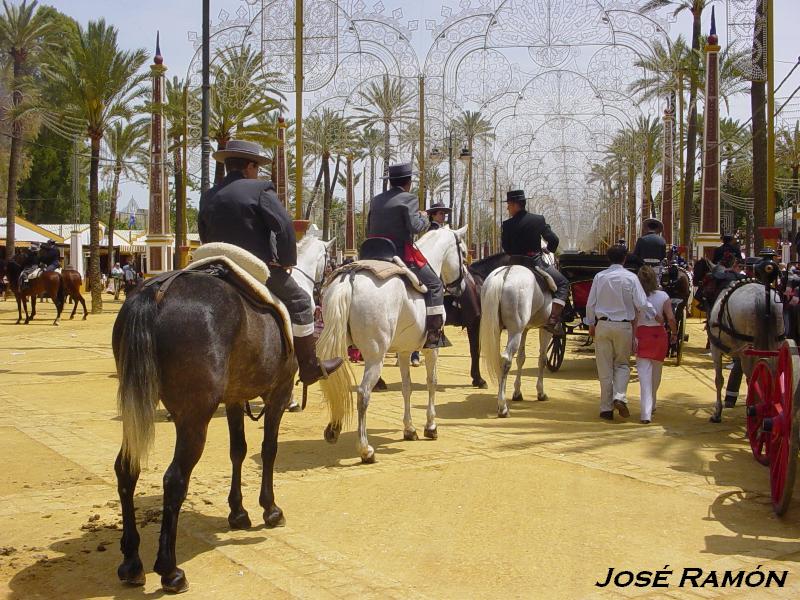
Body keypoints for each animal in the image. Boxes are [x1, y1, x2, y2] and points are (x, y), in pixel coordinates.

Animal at [113, 270, 296, 592]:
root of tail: (156, 291)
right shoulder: (280, 394)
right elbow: (268, 451)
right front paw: (270, 508)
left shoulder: (234, 398)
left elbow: (238, 451)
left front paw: (238, 512)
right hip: (194, 418)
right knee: (174, 480)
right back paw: (170, 570)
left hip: (136, 409)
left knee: (126, 469)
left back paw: (132, 562)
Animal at [316, 226, 468, 464]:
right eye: (463, 251)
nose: (461, 286)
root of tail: (350, 277)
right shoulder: (431, 349)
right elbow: (431, 382)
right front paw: (430, 426)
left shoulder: (404, 351)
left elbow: (407, 387)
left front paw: (409, 429)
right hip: (375, 357)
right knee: (363, 394)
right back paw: (365, 449)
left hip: (337, 349)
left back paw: (334, 429)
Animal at [478, 266, 552, 418]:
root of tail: (505, 273)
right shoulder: (545, 328)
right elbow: (542, 359)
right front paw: (540, 392)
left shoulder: (525, 329)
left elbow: (521, 359)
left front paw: (517, 393)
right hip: (515, 331)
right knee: (506, 360)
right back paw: (503, 407)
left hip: (499, 329)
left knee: (500, 360)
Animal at [708, 280, 780, 422]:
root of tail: (761, 297)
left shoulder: (716, 348)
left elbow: (719, 380)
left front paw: (717, 412)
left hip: (748, 350)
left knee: (752, 379)